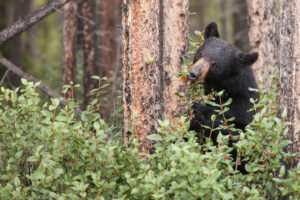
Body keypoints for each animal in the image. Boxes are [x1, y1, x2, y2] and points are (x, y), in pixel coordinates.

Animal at [189, 21, 258, 172]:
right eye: (201, 53)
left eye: (215, 65)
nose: (193, 74)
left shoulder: (244, 110)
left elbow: (237, 137)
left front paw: (204, 112)